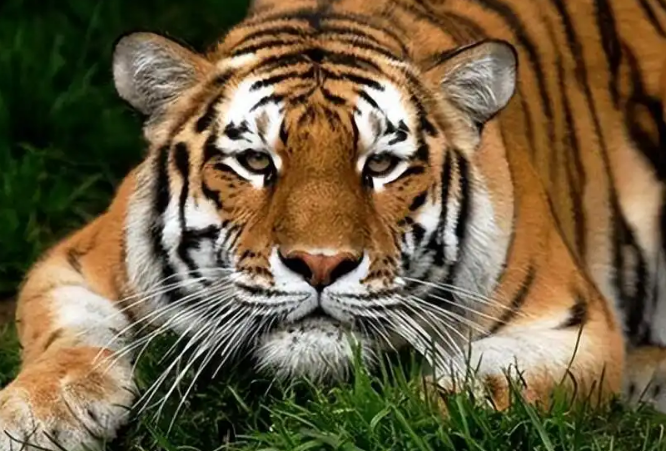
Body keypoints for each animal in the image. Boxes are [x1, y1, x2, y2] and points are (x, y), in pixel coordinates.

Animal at [3, 0, 666, 448]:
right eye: (255, 162)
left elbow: (466, 393)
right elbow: (68, 342)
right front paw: (34, 418)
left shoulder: (571, 326)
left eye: (381, 165)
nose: (320, 264)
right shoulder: (72, 263)